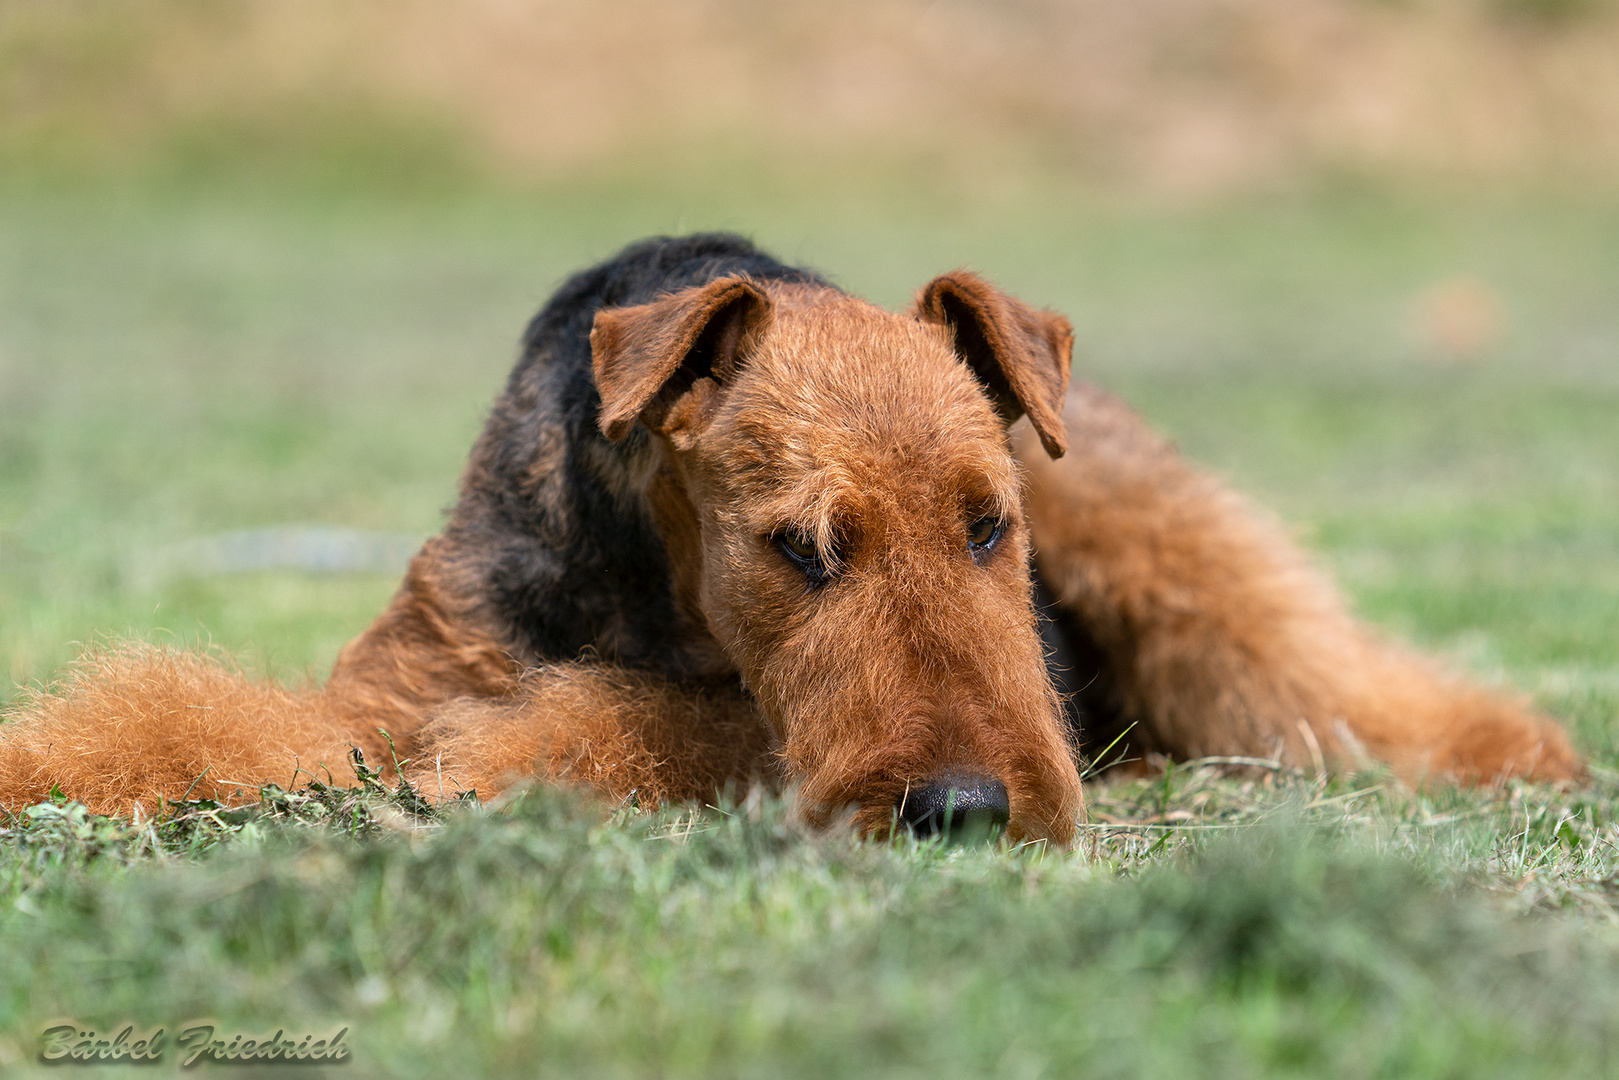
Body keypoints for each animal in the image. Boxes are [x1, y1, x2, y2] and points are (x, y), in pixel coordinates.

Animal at [0, 234, 1580, 841]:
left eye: (986, 530)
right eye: (798, 544)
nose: (966, 810)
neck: (646, 588)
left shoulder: (724, 723)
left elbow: (619, 726)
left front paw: (487, 770)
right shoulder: (384, 694)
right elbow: (215, 723)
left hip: (1152, 534)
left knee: (1329, 675)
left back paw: (1518, 748)